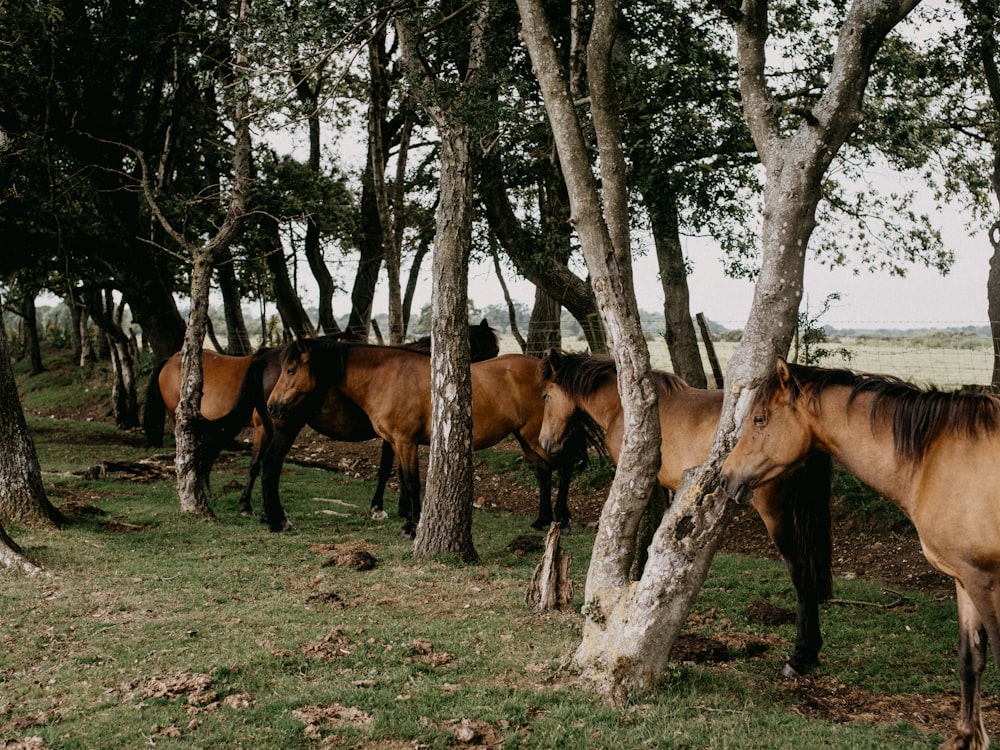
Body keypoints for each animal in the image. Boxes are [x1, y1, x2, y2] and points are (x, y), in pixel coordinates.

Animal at [266, 338, 588, 536]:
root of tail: (550, 374)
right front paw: (409, 521)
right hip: (525, 438)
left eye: (291, 370)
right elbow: (403, 479)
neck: (385, 376)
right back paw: (542, 520)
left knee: (564, 468)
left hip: (538, 436)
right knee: (543, 473)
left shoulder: (405, 441)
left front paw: (412, 526)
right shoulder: (397, 443)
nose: (272, 406)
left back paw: (562, 520)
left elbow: (411, 481)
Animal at [536, 350, 832, 680]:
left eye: (546, 395)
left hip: (776, 514)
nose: (545, 443)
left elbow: (645, 527)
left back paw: (800, 656)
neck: (622, 406)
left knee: (801, 572)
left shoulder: (644, 479)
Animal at [724, 360, 1000, 750]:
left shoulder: (986, 581)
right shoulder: (965, 579)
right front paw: (964, 736)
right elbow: (970, 659)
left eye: (759, 419)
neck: (936, 457)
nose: (725, 476)